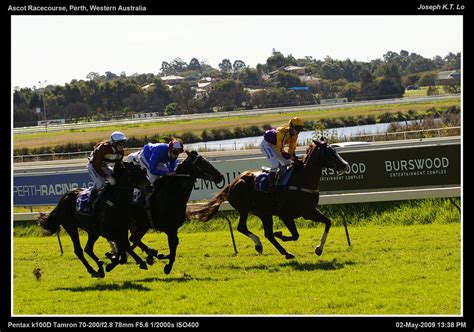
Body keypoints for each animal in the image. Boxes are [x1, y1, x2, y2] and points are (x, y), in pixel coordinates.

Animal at [188, 140, 348, 260]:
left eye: (335, 151)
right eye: (328, 152)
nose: (345, 165)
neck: (302, 180)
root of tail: (232, 183)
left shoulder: (309, 212)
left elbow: (328, 222)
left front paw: (319, 248)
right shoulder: (286, 215)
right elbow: (295, 235)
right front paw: (281, 234)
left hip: (264, 213)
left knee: (268, 234)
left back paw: (285, 252)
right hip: (245, 208)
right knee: (242, 228)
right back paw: (260, 245)